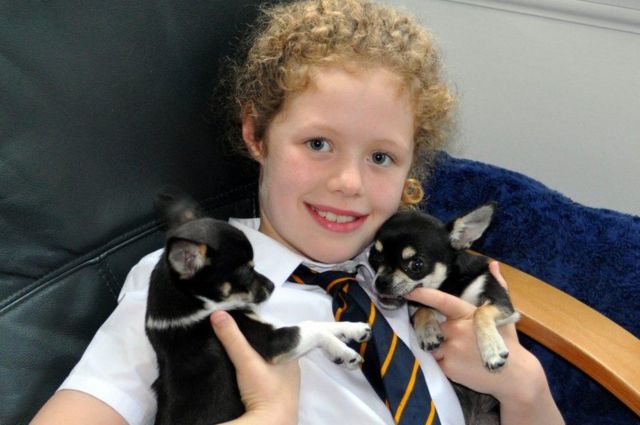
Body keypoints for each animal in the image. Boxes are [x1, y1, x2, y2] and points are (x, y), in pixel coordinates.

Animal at [146, 193, 372, 424]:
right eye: (246, 272)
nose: (272, 285)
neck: (197, 305)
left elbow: (320, 325)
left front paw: (352, 329)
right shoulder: (271, 342)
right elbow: (311, 327)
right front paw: (344, 350)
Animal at [370, 203, 520, 424]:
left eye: (416, 264)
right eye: (374, 257)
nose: (381, 281)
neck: (446, 287)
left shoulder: (502, 303)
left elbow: (480, 312)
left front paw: (492, 349)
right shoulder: (417, 304)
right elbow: (422, 308)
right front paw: (428, 330)